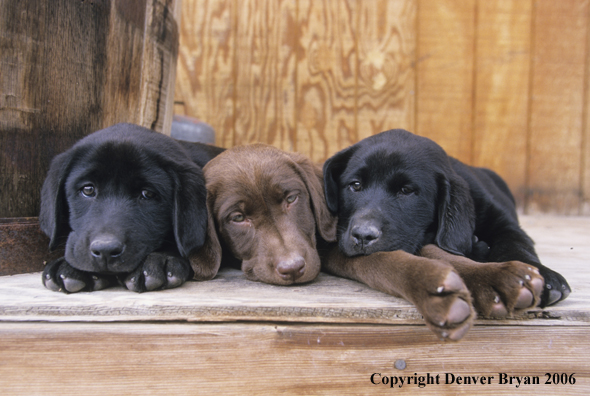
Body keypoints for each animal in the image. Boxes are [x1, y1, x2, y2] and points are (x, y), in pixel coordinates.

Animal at [326, 129, 572, 306]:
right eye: (355, 185)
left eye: (406, 191)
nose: (363, 236)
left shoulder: (504, 222)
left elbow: (516, 245)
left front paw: (545, 278)